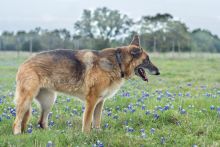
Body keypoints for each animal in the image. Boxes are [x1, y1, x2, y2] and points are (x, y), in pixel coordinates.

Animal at [12, 35, 160, 134]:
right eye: (147, 60)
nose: (158, 72)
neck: (118, 62)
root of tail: (24, 63)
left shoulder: (100, 102)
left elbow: (97, 121)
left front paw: (97, 133)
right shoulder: (92, 100)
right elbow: (88, 121)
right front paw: (87, 135)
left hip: (49, 100)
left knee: (41, 122)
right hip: (27, 100)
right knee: (17, 121)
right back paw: (18, 134)